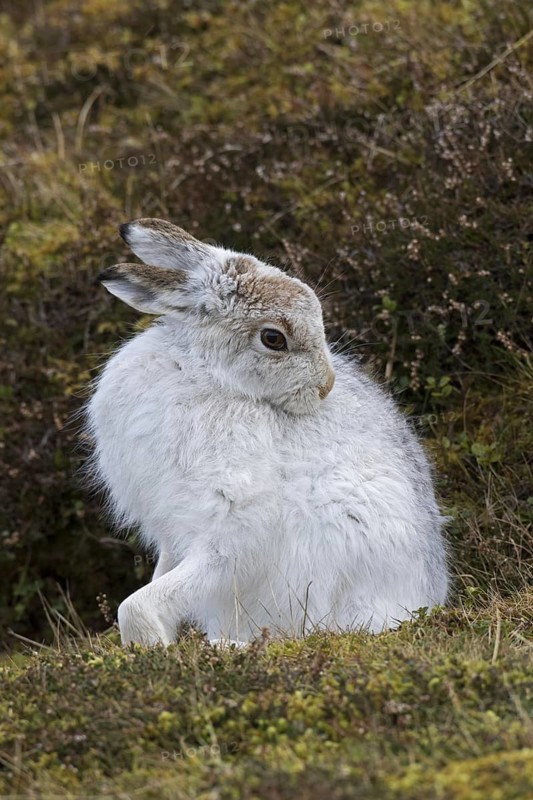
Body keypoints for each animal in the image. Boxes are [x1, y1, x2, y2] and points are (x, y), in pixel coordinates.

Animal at [87, 218, 449, 646]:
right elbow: (158, 579)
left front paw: (152, 647)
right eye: (273, 338)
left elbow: (138, 604)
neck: (203, 372)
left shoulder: (232, 527)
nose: (326, 386)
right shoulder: (173, 533)